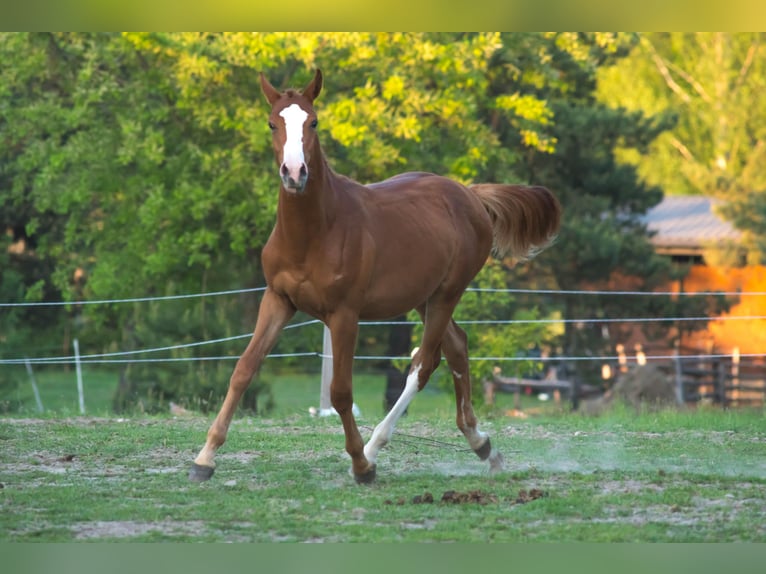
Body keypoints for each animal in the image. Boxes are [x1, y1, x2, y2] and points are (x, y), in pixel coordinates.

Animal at [189, 69, 561, 484]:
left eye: (313, 122)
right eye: (272, 123)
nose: (294, 173)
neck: (314, 233)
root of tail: (470, 194)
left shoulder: (344, 315)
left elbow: (340, 392)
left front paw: (360, 464)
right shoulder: (277, 300)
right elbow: (244, 369)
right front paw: (204, 458)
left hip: (447, 293)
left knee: (424, 364)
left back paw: (374, 447)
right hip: (423, 298)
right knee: (457, 347)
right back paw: (483, 446)